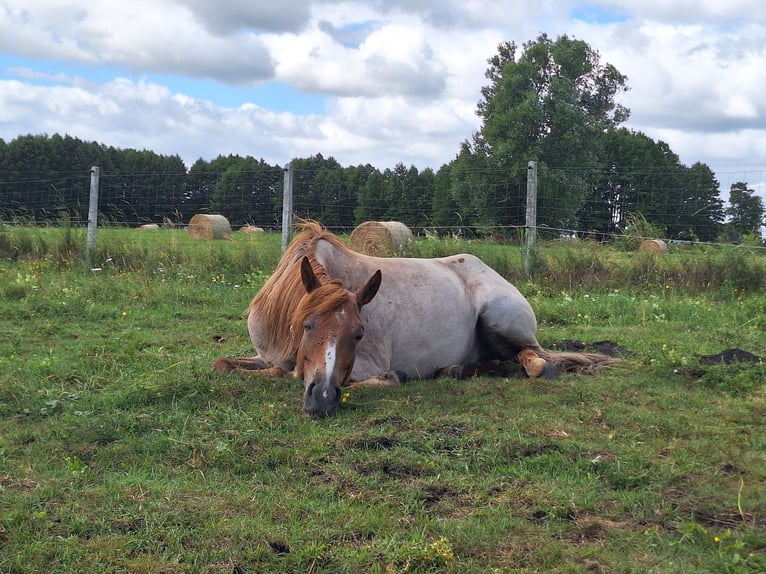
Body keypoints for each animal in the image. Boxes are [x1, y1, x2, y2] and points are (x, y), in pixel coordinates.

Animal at [215, 221, 620, 417]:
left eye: (359, 334)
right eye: (307, 325)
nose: (323, 400)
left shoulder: (366, 363)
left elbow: (292, 373)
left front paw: (397, 377)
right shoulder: (264, 355)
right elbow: (226, 364)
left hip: (502, 319)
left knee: (537, 361)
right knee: (497, 362)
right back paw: (454, 370)